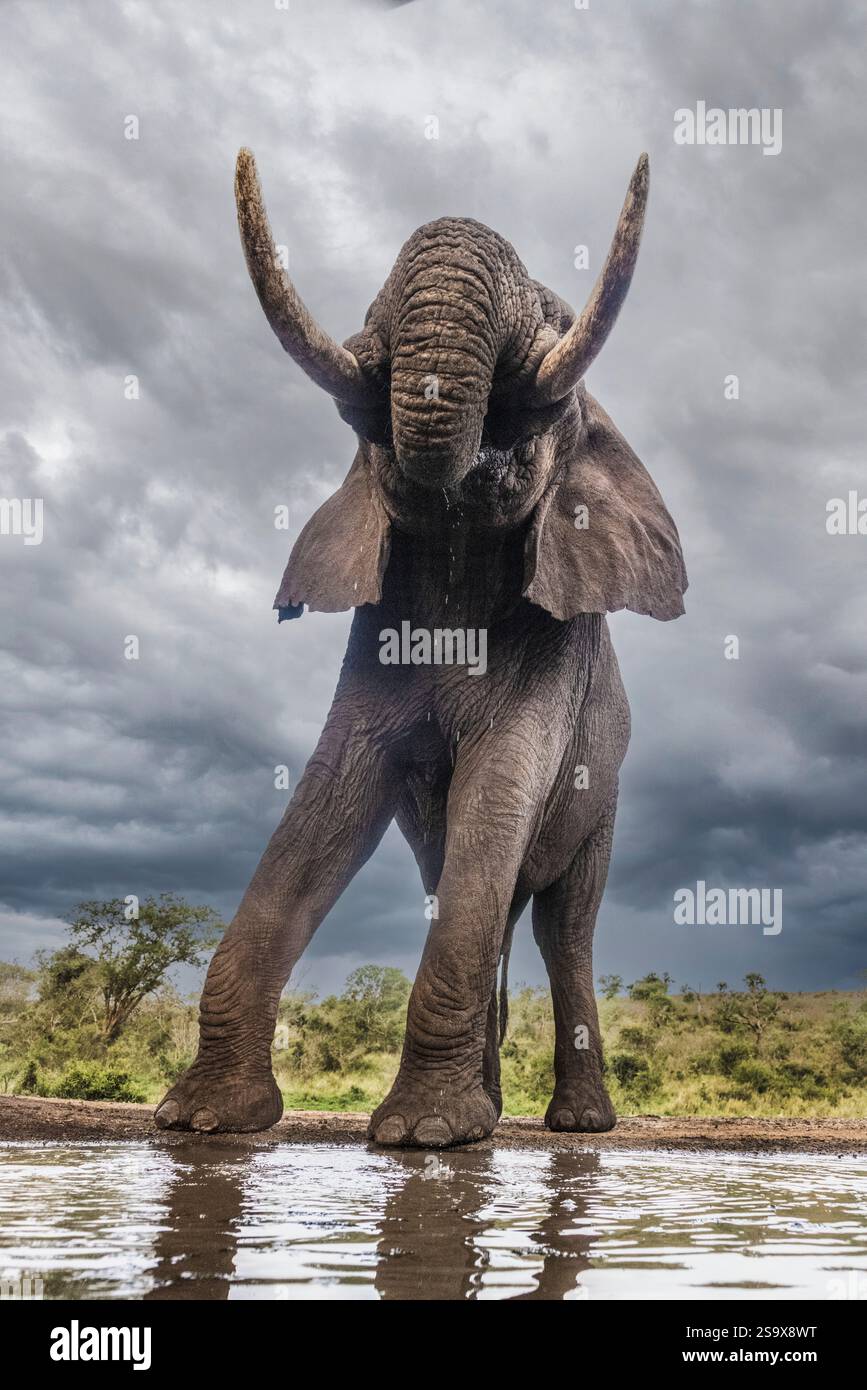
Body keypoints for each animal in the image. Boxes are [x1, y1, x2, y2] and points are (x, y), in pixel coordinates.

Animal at [155, 148, 686, 1146]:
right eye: (351, 420)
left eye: (553, 399)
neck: (456, 542)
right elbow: (332, 794)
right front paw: (204, 1121)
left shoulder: (556, 653)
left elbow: (499, 782)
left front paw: (423, 1136)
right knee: (480, 898)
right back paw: (490, 1110)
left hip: (606, 798)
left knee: (563, 924)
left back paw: (573, 1126)